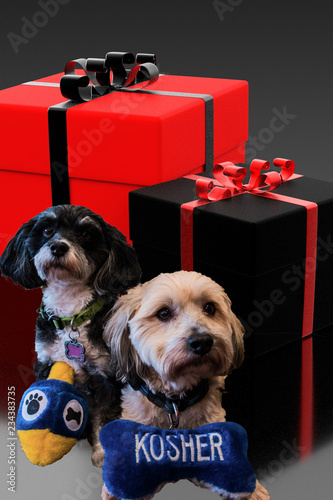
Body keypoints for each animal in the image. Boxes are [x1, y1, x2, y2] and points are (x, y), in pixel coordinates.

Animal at [0, 205, 141, 466]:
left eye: (85, 233)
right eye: (47, 230)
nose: (58, 246)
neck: (72, 314)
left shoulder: (109, 376)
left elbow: (105, 416)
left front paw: (102, 453)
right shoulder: (46, 362)